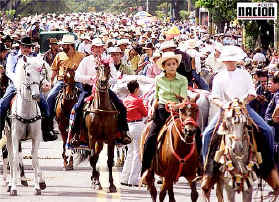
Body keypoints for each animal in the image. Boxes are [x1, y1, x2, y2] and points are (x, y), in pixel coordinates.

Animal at [5, 56, 46, 195]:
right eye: (27, 73)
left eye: (42, 73)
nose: (36, 95)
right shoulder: (15, 136)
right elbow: (14, 160)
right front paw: (13, 188)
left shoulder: (37, 137)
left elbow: (34, 158)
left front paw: (38, 187)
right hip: (8, 136)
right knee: (11, 157)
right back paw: (9, 184)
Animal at [81, 60, 120, 193]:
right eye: (97, 68)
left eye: (109, 69)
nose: (103, 82)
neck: (102, 110)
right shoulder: (92, 136)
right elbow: (92, 157)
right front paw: (95, 183)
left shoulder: (111, 138)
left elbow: (110, 160)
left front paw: (112, 185)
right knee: (93, 157)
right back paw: (95, 179)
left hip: (101, 141)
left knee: (97, 156)